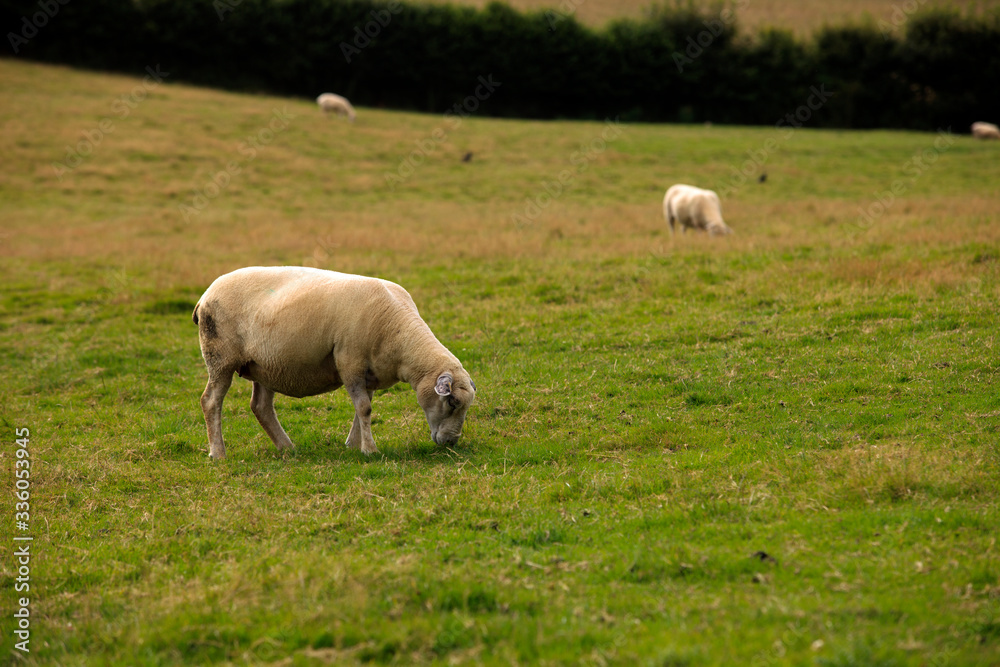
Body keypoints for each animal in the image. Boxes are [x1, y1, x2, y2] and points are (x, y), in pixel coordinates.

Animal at [196, 266, 480, 460]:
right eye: (453, 402)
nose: (452, 443)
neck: (399, 334)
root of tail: (205, 295)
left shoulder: (369, 373)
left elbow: (361, 409)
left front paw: (354, 446)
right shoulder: (350, 362)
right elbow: (364, 408)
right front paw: (370, 450)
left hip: (265, 364)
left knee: (261, 407)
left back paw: (287, 447)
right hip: (220, 357)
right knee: (211, 401)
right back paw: (218, 453)